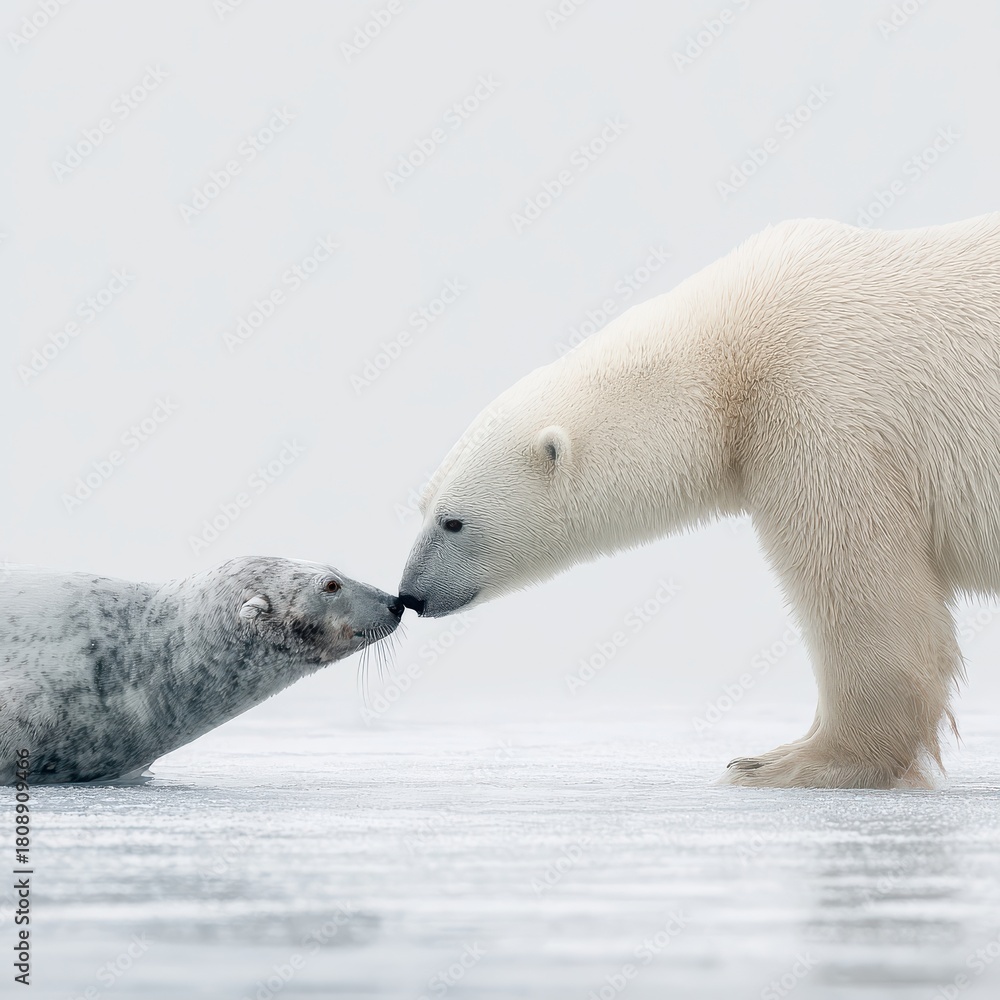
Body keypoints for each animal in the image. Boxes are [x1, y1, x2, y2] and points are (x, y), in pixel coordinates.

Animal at [398, 212, 1000, 789]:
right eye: (423, 508)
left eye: (453, 522)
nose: (410, 595)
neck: (736, 347)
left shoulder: (826, 410)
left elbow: (863, 589)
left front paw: (781, 763)